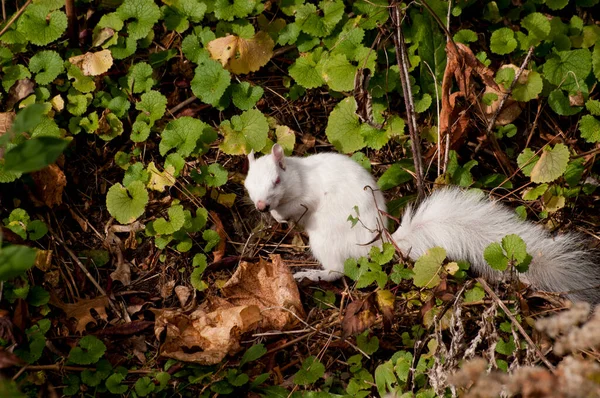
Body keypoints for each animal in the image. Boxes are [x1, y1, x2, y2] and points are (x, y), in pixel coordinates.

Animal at [244, 146, 600, 304]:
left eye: (276, 180)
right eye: (247, 183)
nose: (261, 205)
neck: (298, 174)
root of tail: (381, 245)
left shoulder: (304, 199)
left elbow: (296, 210)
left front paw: (278, 216)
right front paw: (271, 216)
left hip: (325, 242)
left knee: (337, 271)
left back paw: (311, 275)